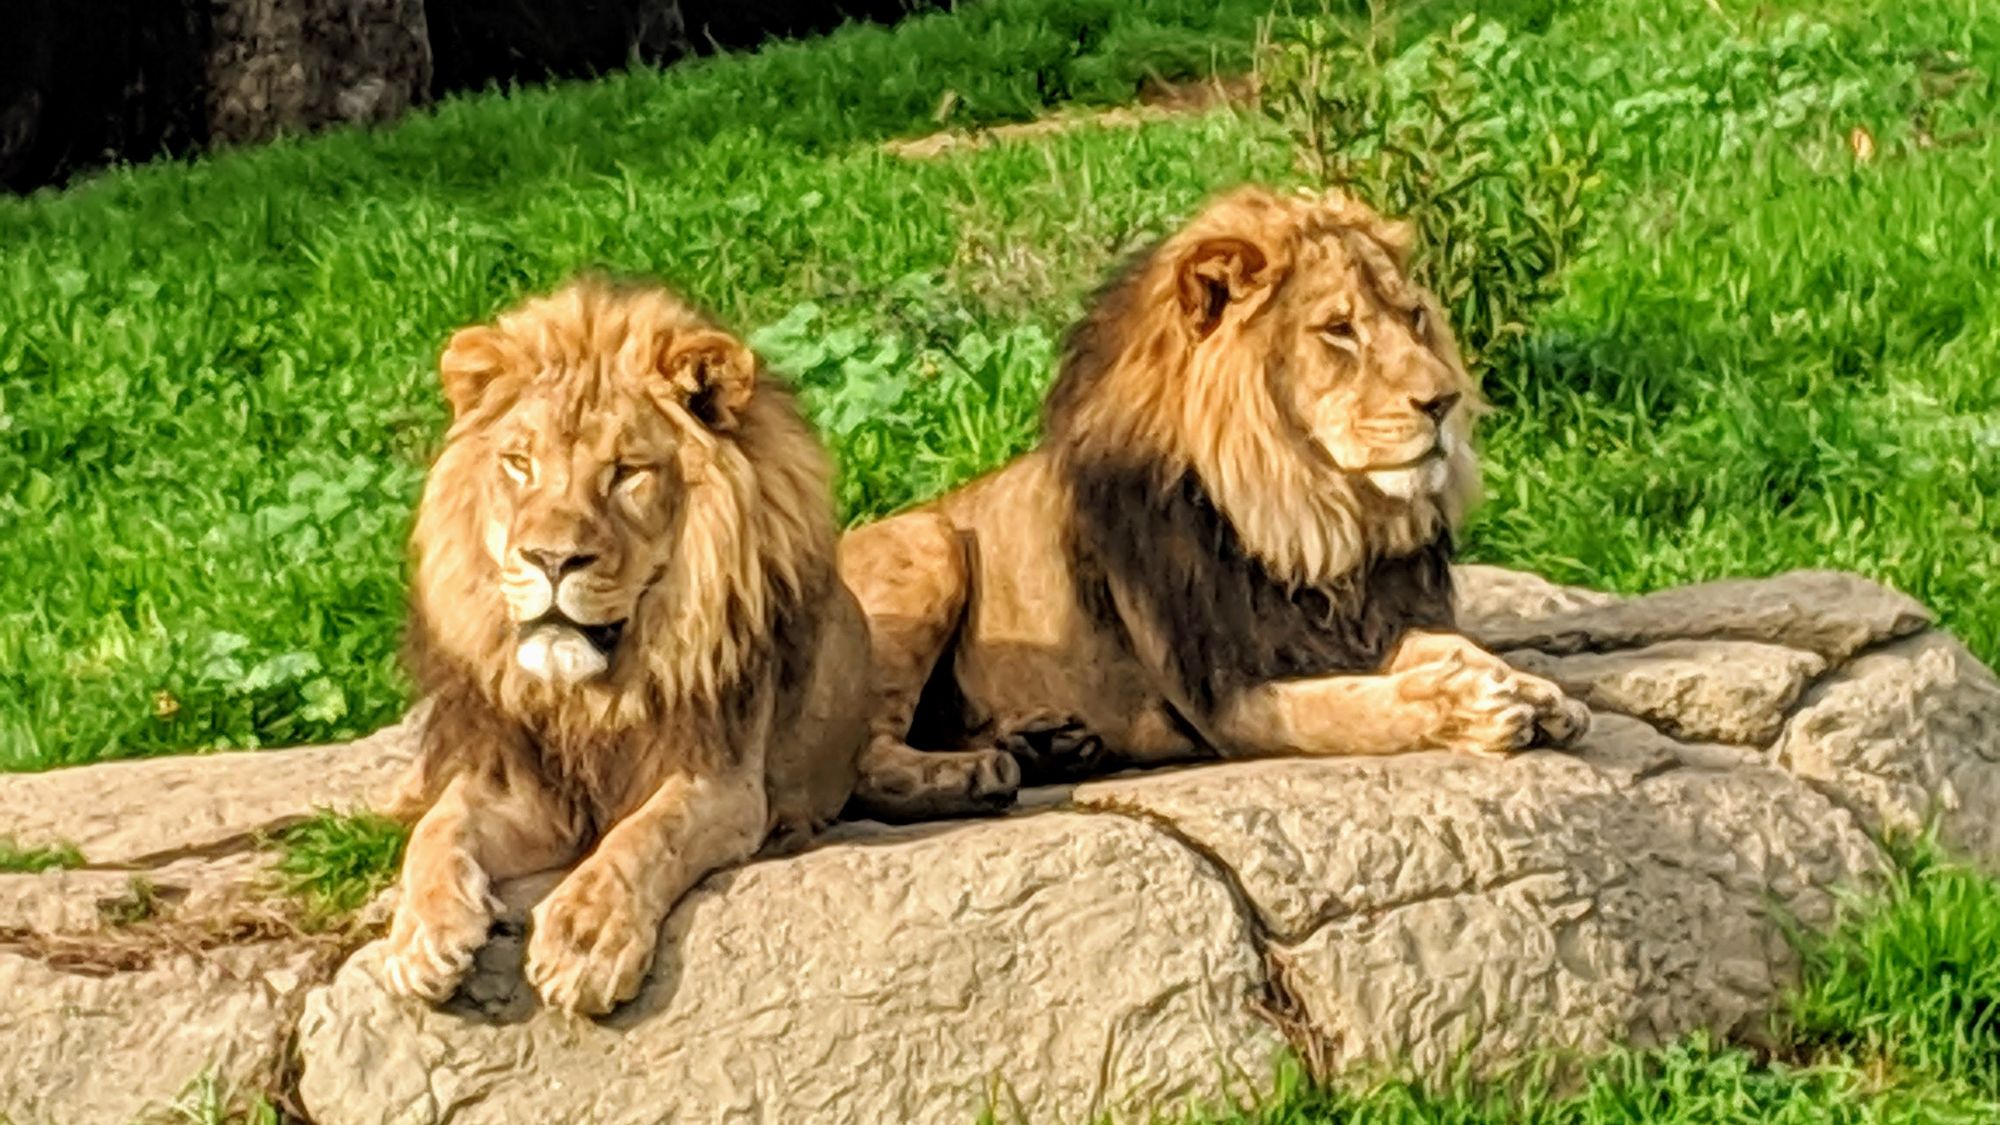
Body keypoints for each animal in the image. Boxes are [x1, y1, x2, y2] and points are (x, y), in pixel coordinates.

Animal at [381, 277, 888, 1015]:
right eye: (519, 464)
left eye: (625, 473)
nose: (550, 559)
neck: (594, 695)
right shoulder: (527, 791)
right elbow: (440, 826)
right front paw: (422, 934)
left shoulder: (724, 784)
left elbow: (643, 836)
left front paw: (584, 940)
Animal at [841, 186, 1590, 813]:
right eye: (1339, 329)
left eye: (1413, 318)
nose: (1445, 400)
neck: (1314, 519)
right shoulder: (1226, 697)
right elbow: (1355, 707)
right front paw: (1472, 707)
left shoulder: (1361, 624)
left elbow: (1441, 643)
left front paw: (1532, 687)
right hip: (927, 543)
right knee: (861, 765)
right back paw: (968, 775)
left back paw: (1048, 742)